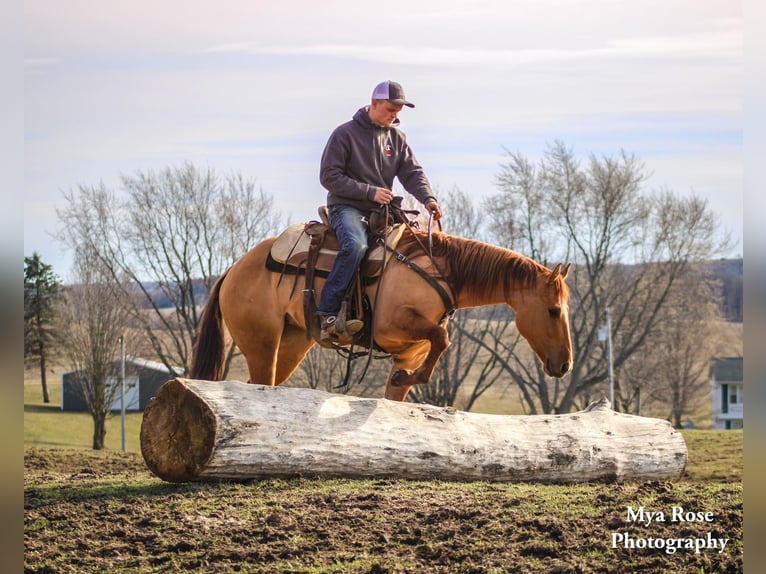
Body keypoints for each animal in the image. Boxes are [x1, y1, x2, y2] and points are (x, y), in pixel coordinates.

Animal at [190, 227, 576, 402]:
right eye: (554, 310)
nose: (565, 365)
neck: (439, 272)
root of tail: (233, 270)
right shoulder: (391, 327)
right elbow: (442, 336)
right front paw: (410, 378)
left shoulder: (410, 352)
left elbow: (405, 383)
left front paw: (406, 379)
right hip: (262, 345)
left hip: (290, 346)